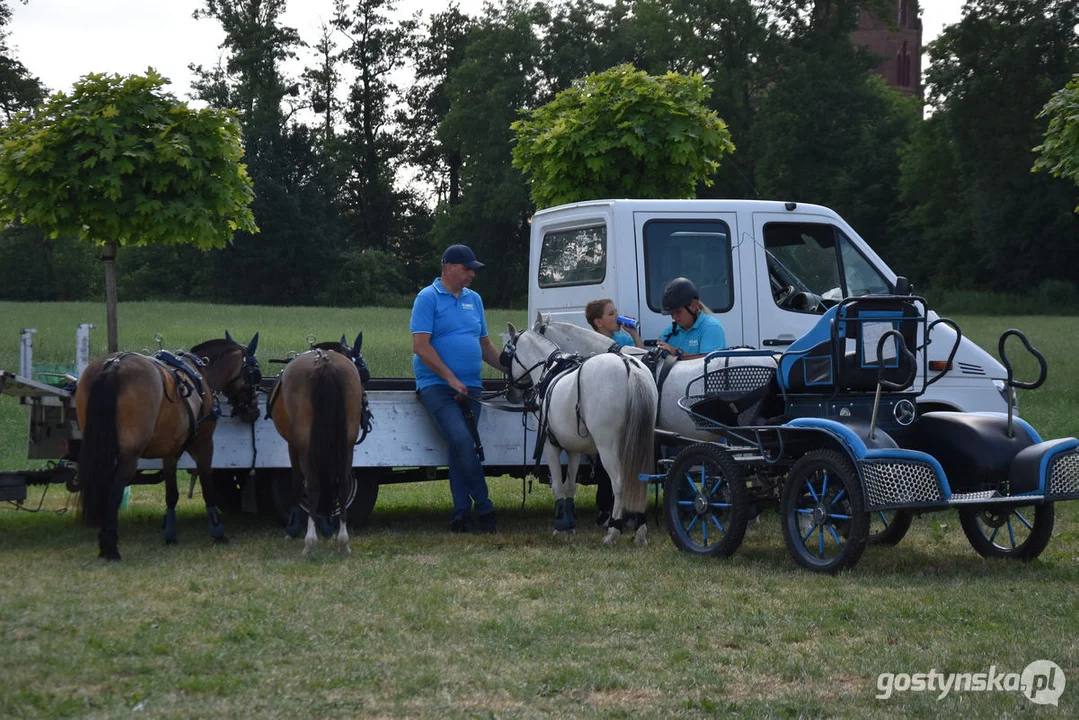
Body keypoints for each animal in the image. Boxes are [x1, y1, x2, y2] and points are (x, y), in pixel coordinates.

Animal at [76, 334, 261, 561]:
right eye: (255, 373)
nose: (254, 411)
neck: (200, 372)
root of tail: (114, 365)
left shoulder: (170, 452)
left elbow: (171, 493)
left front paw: (170, 533)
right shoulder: (204, 446)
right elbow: (208, 488)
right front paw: (217, 531)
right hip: (129, 456)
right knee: (113, 488)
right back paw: (110, 546)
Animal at [265, 334, 371, 557]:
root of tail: (324, 363)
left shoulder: (293, 446)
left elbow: (298, 483)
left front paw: (293, 528)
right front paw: (327, 525)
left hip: (305, 446)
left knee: (312, 484)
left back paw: (310, 542)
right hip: (346, 446)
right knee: (342, 483)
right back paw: (343, 541)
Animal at [504, 321, 656, 546]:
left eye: (507, 353)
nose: (510, 393)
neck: (549, 371)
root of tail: (628, 365)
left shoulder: (550, 445)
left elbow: (558, 486)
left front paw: (560, 525)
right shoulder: (574, 448)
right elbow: (570, 486)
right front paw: (569, 524)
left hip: (608, 447)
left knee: (620, 483)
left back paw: (613, 531)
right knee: (639, 479)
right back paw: (640, 531)